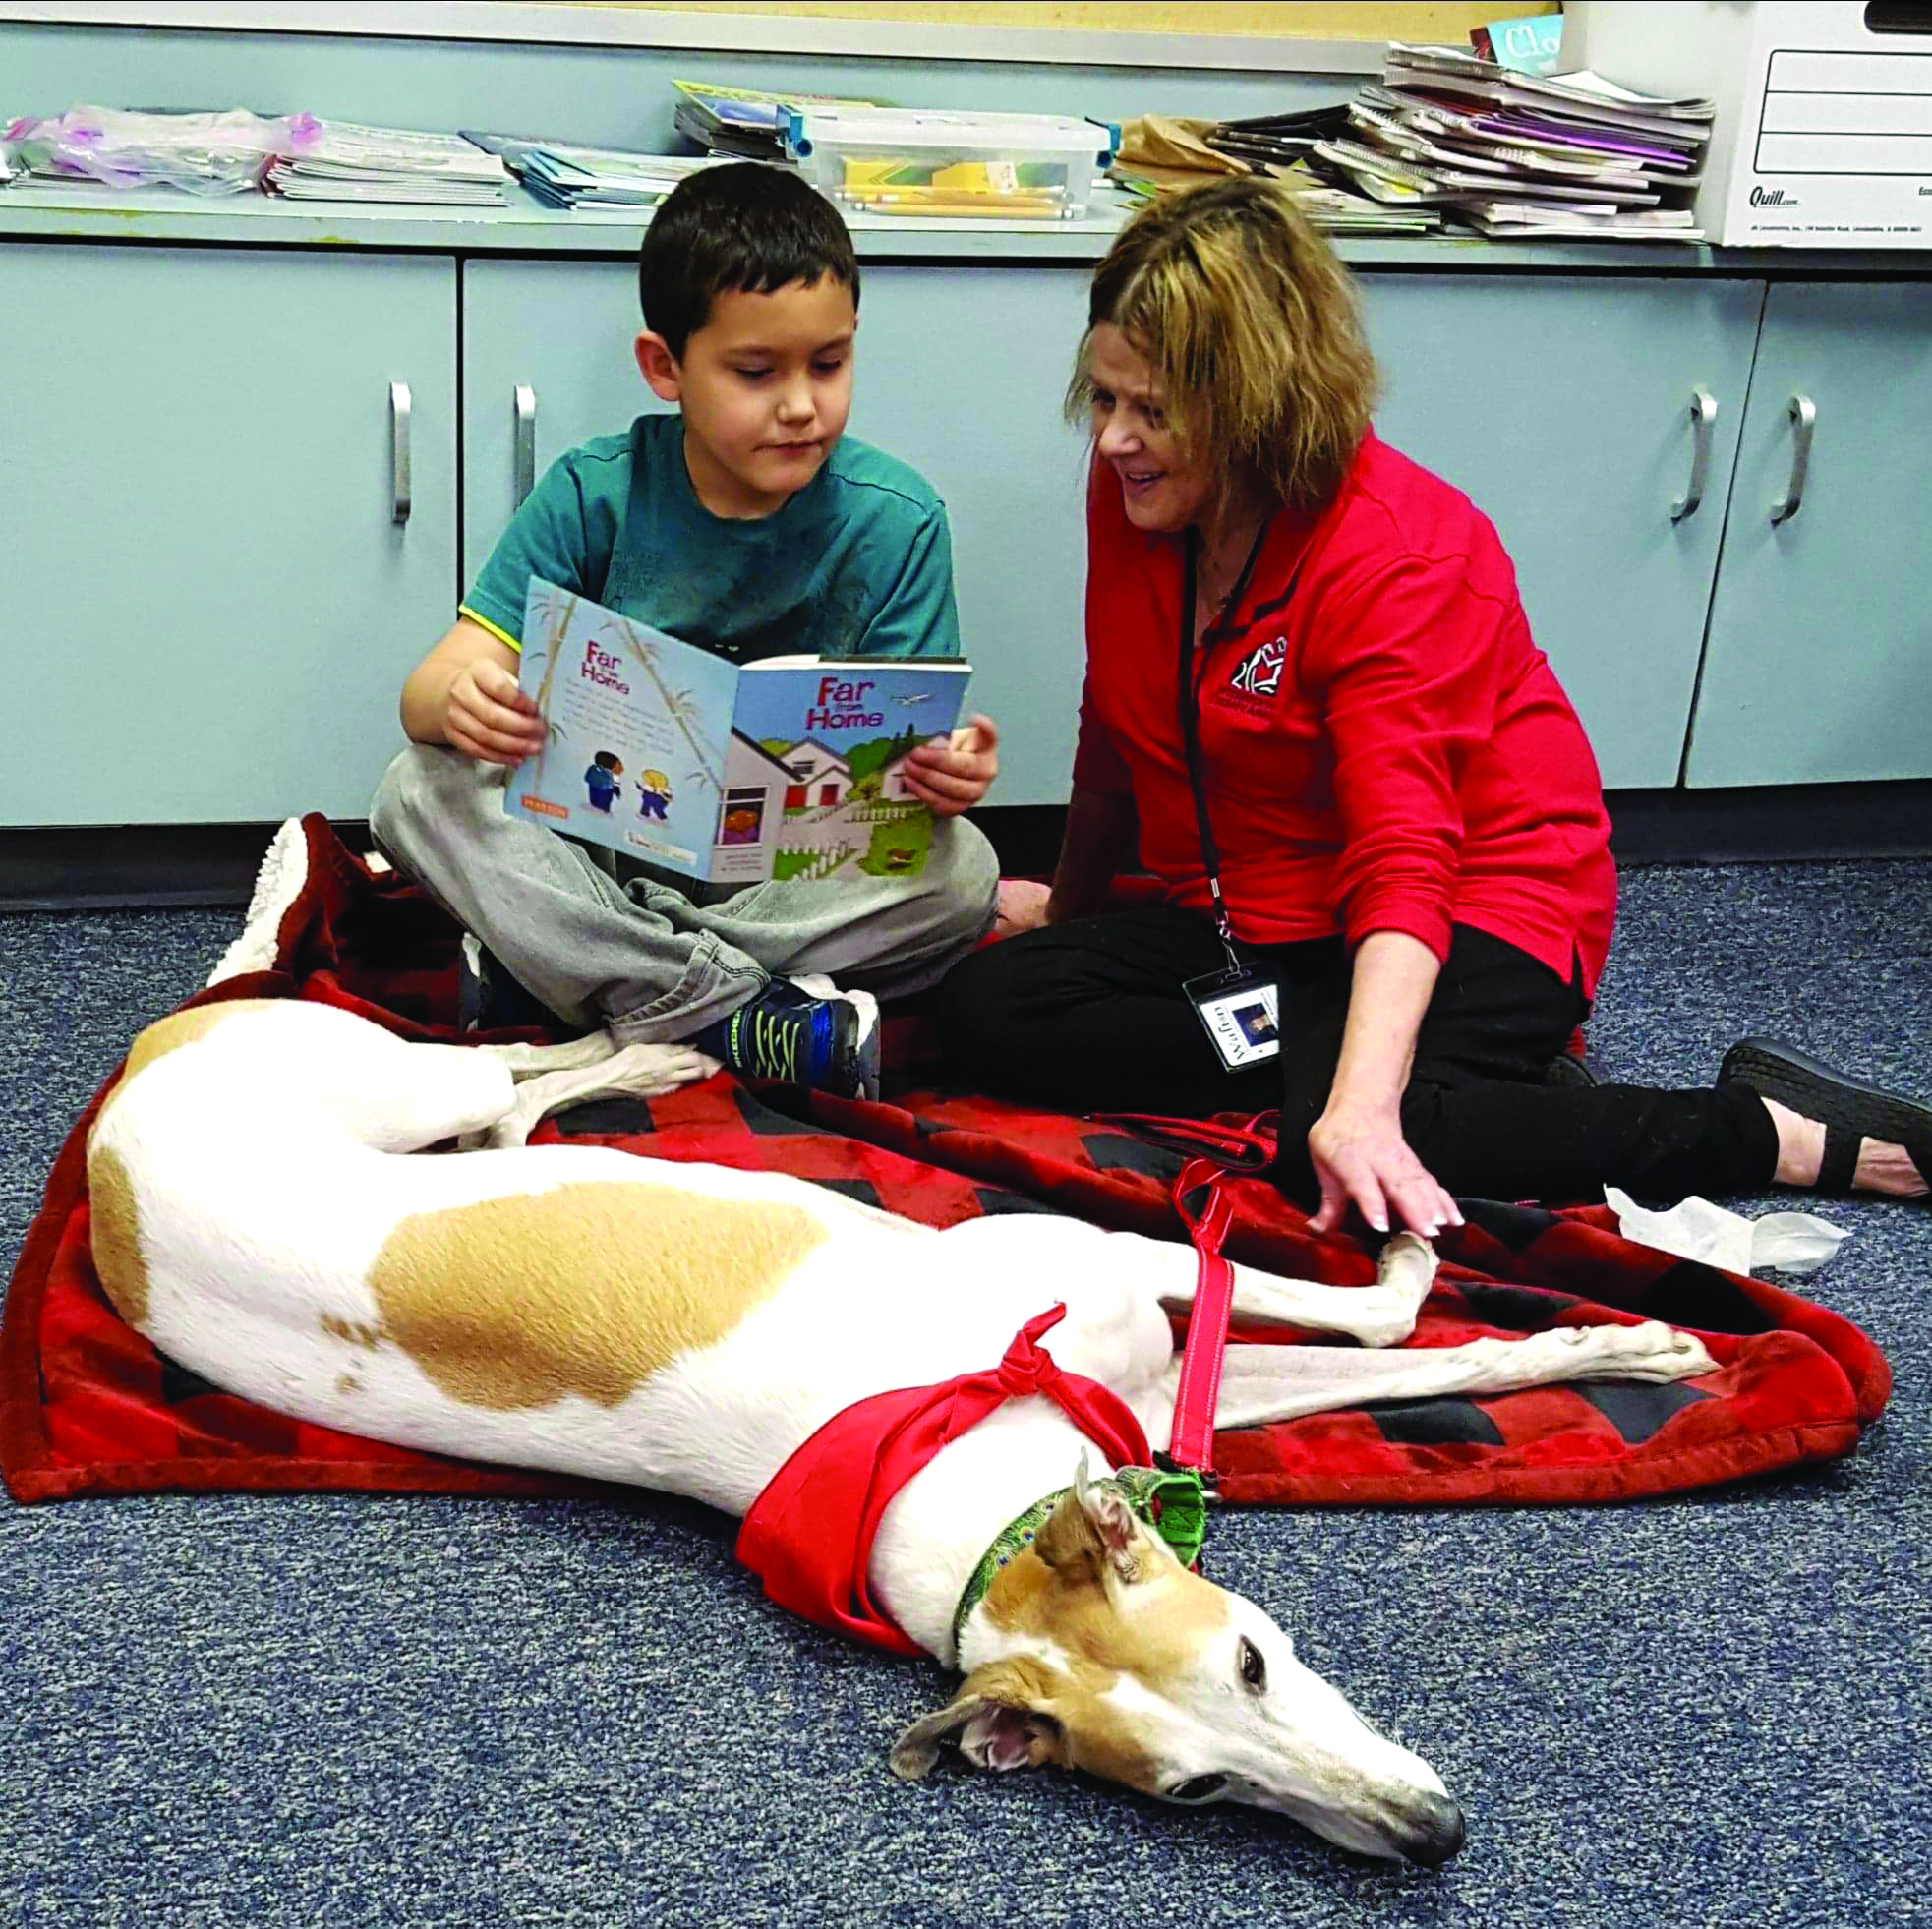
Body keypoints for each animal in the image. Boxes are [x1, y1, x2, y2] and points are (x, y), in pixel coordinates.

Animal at [83, 1005, 1715, 1863]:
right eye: (1195, 1788)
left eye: (1254, 1656)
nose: (1432, 1838)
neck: (973, 1487)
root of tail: (124, 1098)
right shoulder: (1134, 1314)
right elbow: (1378, 1331)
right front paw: (1517, 1297)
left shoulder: (1133, 1308)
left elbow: (1363, 1332)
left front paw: (1592, 1327)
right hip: (390, 1078)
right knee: (508, 1073)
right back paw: (644, 1050)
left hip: (419, 1086)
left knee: (510, 1081)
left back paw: (641, 1054)